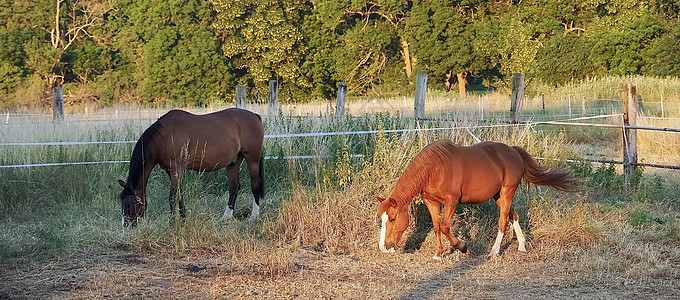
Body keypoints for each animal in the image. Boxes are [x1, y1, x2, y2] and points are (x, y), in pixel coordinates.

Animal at [118, 108, 264, 227]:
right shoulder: (171, 172)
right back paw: (226, 217)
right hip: (233, 163)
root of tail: (255, 116)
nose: (125, 225)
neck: (164, 137)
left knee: (255, 185)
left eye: (129, 204)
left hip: (253, 159)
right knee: (234, 188)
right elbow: (180, 196)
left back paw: (254, 216)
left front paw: (173, 223)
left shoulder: (176, 170)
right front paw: (183, 220)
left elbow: (172, 197)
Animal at [378, 139, 572, 258]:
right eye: (381, 219)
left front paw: (462, 247)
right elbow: (436, 226)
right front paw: (439, 254)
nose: (384, 247)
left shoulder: (451, 201)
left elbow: (445, 227)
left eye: (393, 219)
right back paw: (522, 246)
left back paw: (494, 251)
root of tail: (513, 151)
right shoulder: (430, 201)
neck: (433, 169)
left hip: (507, 192)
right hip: (498, 196)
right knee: (513, 215)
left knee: (502, 221)